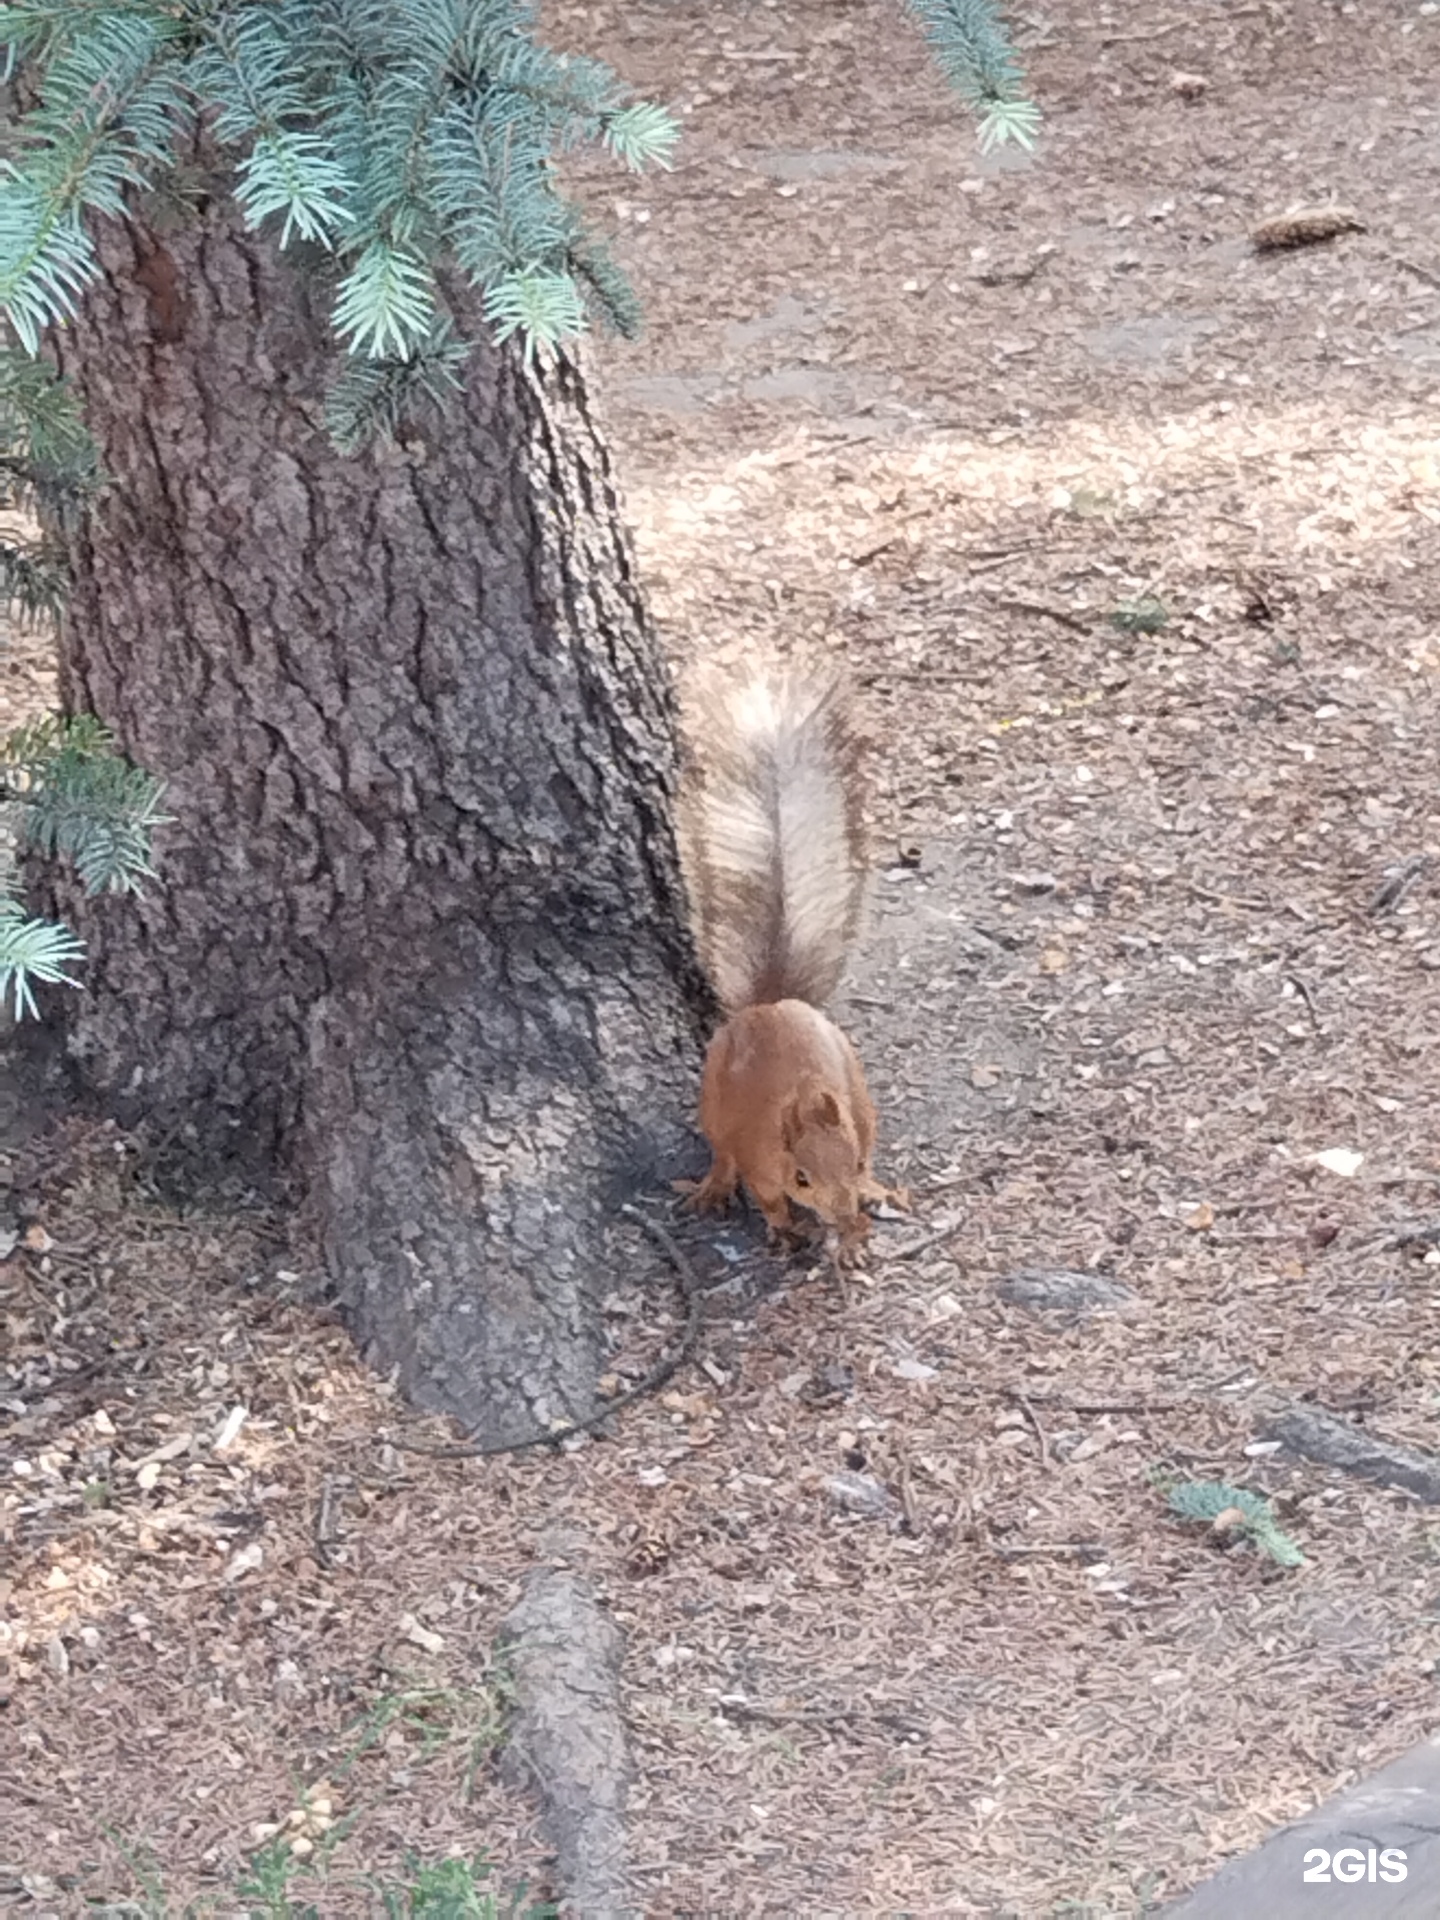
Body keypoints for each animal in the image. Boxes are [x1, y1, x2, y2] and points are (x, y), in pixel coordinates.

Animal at [679, 668, 906, 1267]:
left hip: (860, 1092)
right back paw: (713, 1186)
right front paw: (786, 1231)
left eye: (852, 1164)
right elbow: (768, 1200)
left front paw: (853, 1237)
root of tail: (771, 1002)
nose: (845, 1213)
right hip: (713, 1102)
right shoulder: (761, 1162)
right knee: (720, 1152)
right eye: (802, 1177)